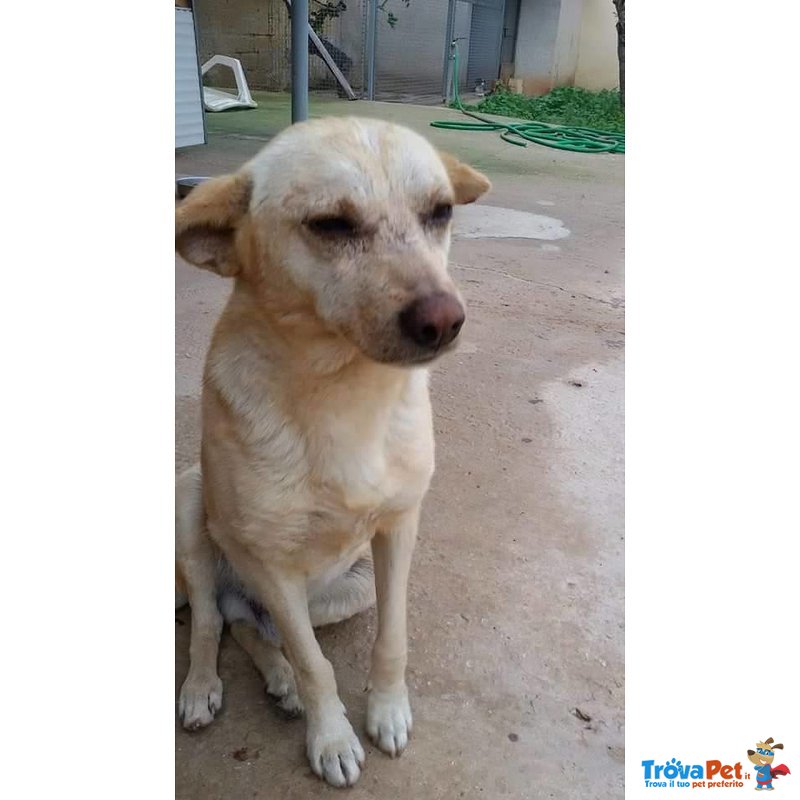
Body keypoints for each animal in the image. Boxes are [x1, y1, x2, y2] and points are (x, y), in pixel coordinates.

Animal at [175, 119, 488, 788]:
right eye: (331, 224)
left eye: (440, 212)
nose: (445, 322)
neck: (345, 394)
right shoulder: (271, 564)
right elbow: (317, 665)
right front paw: (333, 739)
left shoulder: (399, 528)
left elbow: (390, 638)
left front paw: (387, 712)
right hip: (191, 505)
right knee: (213, 621)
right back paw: (204, 689)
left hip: (345, 589)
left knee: (250, 627)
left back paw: (279, 681)